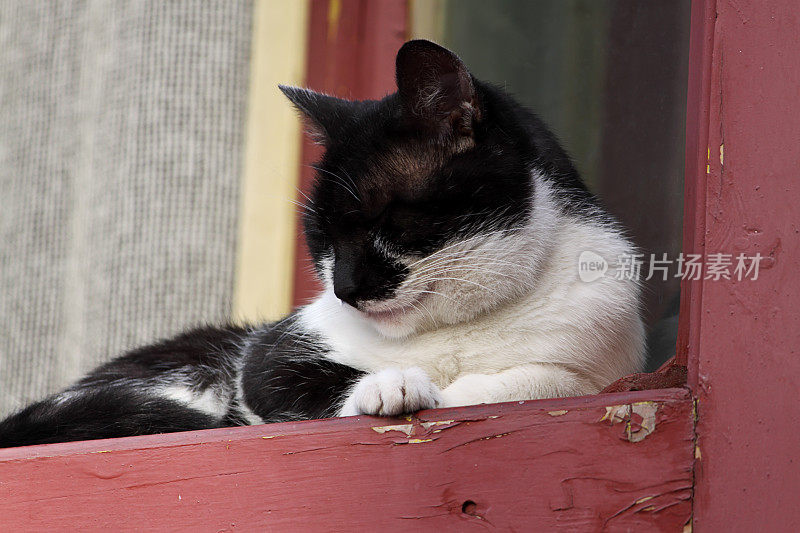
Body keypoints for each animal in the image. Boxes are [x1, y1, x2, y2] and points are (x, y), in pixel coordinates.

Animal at [0, 41, 644, 446]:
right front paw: (395, 386)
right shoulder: (271, 354)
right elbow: (296, 382)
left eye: (385, 221)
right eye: (321, 238)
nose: (345, 290)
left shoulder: (601, 364)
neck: (455, 333)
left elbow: (540, 383)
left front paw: (456, 389)